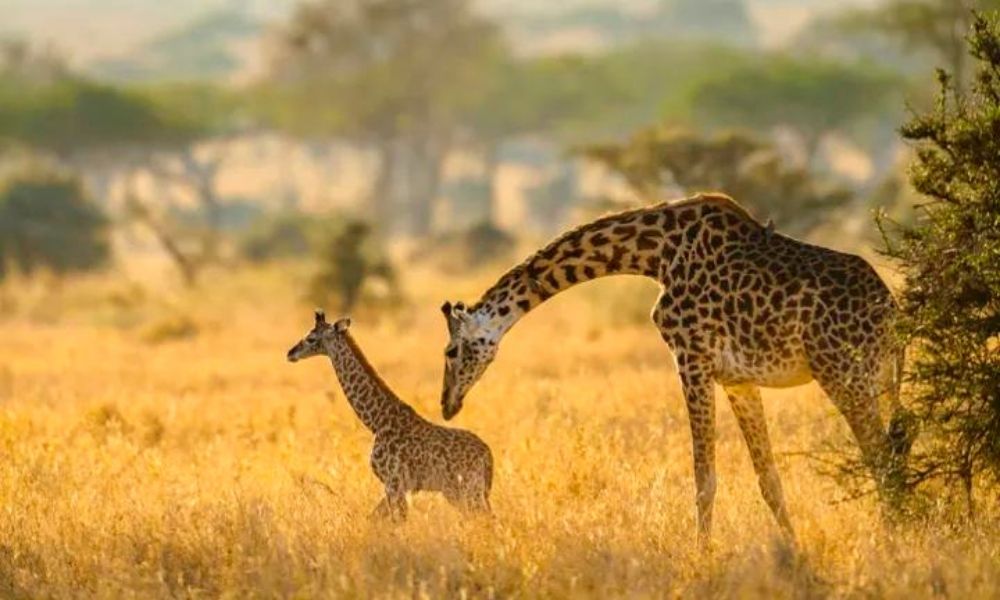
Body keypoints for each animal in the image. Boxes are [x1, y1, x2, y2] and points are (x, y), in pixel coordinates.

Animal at [288, 311, 493, 521]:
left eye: (311, 338)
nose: (291, 353)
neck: (377, 422)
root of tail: (487, 456)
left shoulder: (394, 483)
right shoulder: (395, 487)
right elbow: (373, 520)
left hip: (466, 490)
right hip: (461, 491)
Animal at [439, 192, 907, 542]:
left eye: (451, 351)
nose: (447, 404)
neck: (655, 254)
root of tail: (891, 313)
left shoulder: (691, 359)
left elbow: (704, 478)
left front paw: (703, 557)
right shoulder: (737, 378)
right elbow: (769, 479)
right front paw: (793, 551)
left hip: (843, 375)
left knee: (882, 459)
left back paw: (891, 541)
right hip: (878, 379)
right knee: (893, 452)